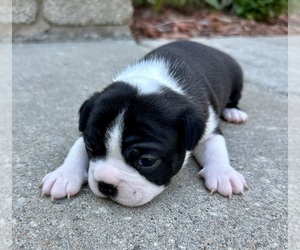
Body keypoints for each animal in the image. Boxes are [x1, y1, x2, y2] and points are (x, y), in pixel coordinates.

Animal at [41, 41, 247, 207]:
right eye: (90, 147)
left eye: (146, 161)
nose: (106, 186)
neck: (155, 79)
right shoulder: (86, 129)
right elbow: (75, 150)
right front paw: (64, 175)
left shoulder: (208, 125)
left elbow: (215, 148)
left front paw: (223, 174)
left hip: (237, 78)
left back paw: (234, 112)